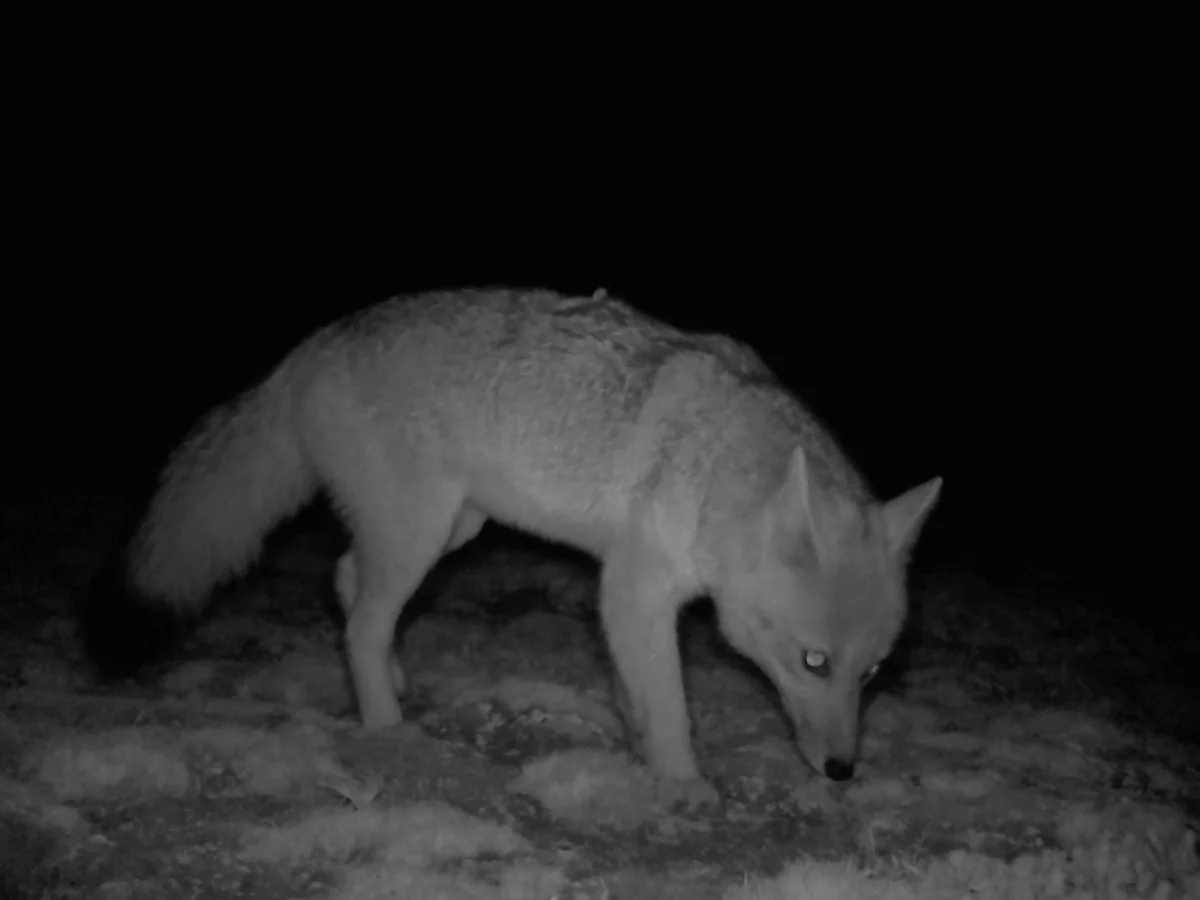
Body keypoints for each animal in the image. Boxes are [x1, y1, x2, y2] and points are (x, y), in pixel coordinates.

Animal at [111, 287, 941, 810]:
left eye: (872, 672)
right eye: (814, 662)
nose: (842, 771)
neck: (718, 466)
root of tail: (308, 349)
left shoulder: (633, 598)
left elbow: (637, 691)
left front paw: (638, 738)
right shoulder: (634, 587)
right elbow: (672, 703)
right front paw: (681, 782)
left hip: (448, 531)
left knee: (349, 585)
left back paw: (394, 679)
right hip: (420, 537)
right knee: (361, 623)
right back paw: (385, 726)